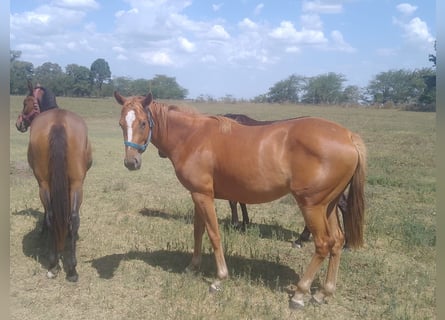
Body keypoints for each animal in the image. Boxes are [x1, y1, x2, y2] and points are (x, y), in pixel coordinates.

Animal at [15, 81, 92, 282]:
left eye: (25, 102)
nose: (19, 123)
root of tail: (58, 122)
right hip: (76, 184)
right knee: (73, 217)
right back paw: (70, 269)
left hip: (44, 184)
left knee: (51, 216)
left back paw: (54, 264)